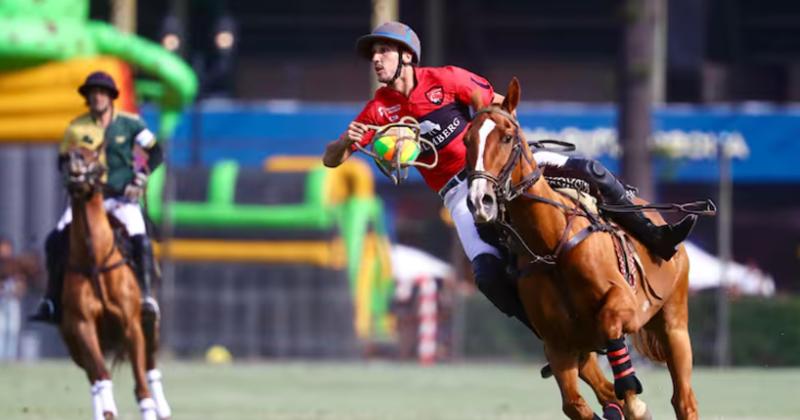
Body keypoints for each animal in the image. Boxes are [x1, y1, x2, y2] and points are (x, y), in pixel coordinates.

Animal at [60, 146, 171, 418]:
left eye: (94, 159)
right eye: (65, 157)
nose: (75, 161)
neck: (95, 260)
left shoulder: (131, 325)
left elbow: (141, 385)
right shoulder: (83, 326)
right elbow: (101, 375)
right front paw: (107, 409)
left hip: (150, 328)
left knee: (150, 366)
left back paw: (163, 408)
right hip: (73, 343)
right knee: (93, 378)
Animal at [462, 79, 700, 420]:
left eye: (507, 137)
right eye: (467, 140)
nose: (480, 200)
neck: (553, 247)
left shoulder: (626, 308)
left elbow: (611, 328)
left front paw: (635, 405)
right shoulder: (557, 344)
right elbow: (575, 404)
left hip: (674, 322)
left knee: (684, 400)